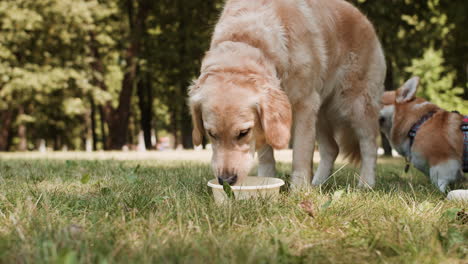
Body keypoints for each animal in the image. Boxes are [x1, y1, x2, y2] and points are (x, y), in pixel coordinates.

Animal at [188, 0, 386, 188]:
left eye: (243, 133)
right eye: (211, 134)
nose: (226, 180)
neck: (248, 39)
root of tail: (363, 17)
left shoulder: (305, 104)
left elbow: (300, 154)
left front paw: (299, 189)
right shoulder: (269, 120)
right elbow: (266, 156)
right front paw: (264, 182)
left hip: (357, 104)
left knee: (369, 146)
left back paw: (366, 183)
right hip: (320, 113)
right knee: (331, 148)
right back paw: (318, 183)